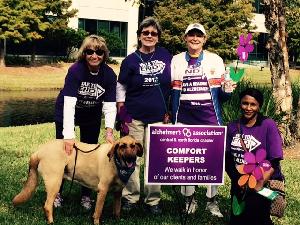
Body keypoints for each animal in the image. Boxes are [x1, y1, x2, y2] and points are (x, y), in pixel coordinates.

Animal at [12, 134, 143, 224]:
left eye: (133, 146)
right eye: (122, 146)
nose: (131, 158)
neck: (116, 164)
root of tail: (39, 151)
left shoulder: (118, 192)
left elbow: (117, 210)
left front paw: (117, 220)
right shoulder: (102, 190)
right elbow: (98, 211)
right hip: (55, 182)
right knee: (47, 206)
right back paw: (51, 221)